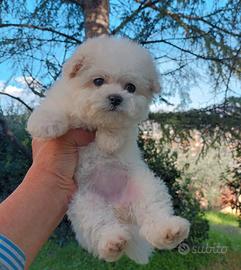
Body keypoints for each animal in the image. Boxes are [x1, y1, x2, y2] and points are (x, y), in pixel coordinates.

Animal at [27, 35, 190, 264]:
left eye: (130, 88)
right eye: (98, 81)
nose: (115, 98)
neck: (93, 121)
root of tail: (119, 210)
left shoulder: (127, 124)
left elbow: (118, 126)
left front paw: (109, 141)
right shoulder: (61, 100)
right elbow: (53, 107)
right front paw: (45, 124)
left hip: (145, 186)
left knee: (154, 213)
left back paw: (169, 230)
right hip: (86, 203)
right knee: (100, 225)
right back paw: (113, 242)